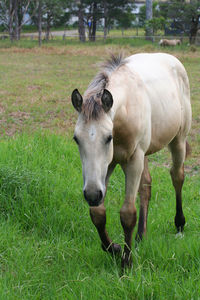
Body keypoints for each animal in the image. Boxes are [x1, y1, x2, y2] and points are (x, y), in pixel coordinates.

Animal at [71, 52, 191, 270]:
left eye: (108, 137)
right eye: (76, 139)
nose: (91, 194)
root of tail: (173, 59)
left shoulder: (133, 159)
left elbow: (127, 213)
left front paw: (126, 263)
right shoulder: (108, 166)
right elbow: (97, 213)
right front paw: (116, 249)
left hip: (178, 140)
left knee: (177, 176)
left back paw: (179, 224)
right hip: (144, 155)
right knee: (146, 187)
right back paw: (140, 237)